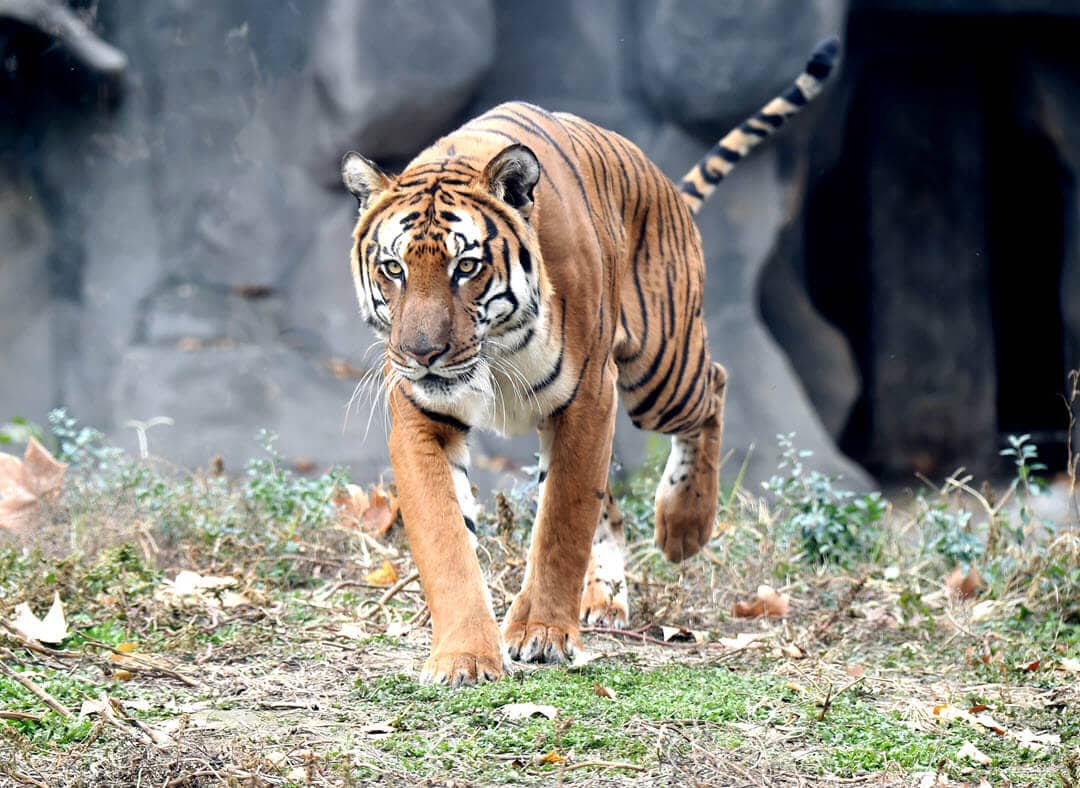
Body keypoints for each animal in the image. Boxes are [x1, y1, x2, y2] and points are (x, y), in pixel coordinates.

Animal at [341, 39, 838, 686]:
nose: (422, 354)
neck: (493, 355)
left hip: (661, 371)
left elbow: (562, 523)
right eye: (394, 268)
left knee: (715, 385)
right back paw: (605, 601)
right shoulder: (422, 416)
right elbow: (446, 538)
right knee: (615, 510)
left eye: (465, 267)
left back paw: (683, 525)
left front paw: (543, 634)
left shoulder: (587, 399)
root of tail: (661, 181)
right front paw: (464, 657)